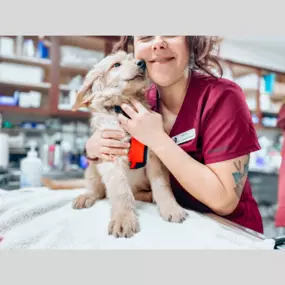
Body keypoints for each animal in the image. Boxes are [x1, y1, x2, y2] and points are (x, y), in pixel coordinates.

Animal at [43, 50, 187, 236]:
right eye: (116, 65)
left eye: (134, 59)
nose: (142, 63)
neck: (124, 109)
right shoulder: (111, 155)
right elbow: (120, 191)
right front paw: (124, 218)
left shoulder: (154, 155)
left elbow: (162, 185)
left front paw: (171, 208)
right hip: (93, 167)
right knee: (98, 190)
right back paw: (86, 196)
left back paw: (148, 196)